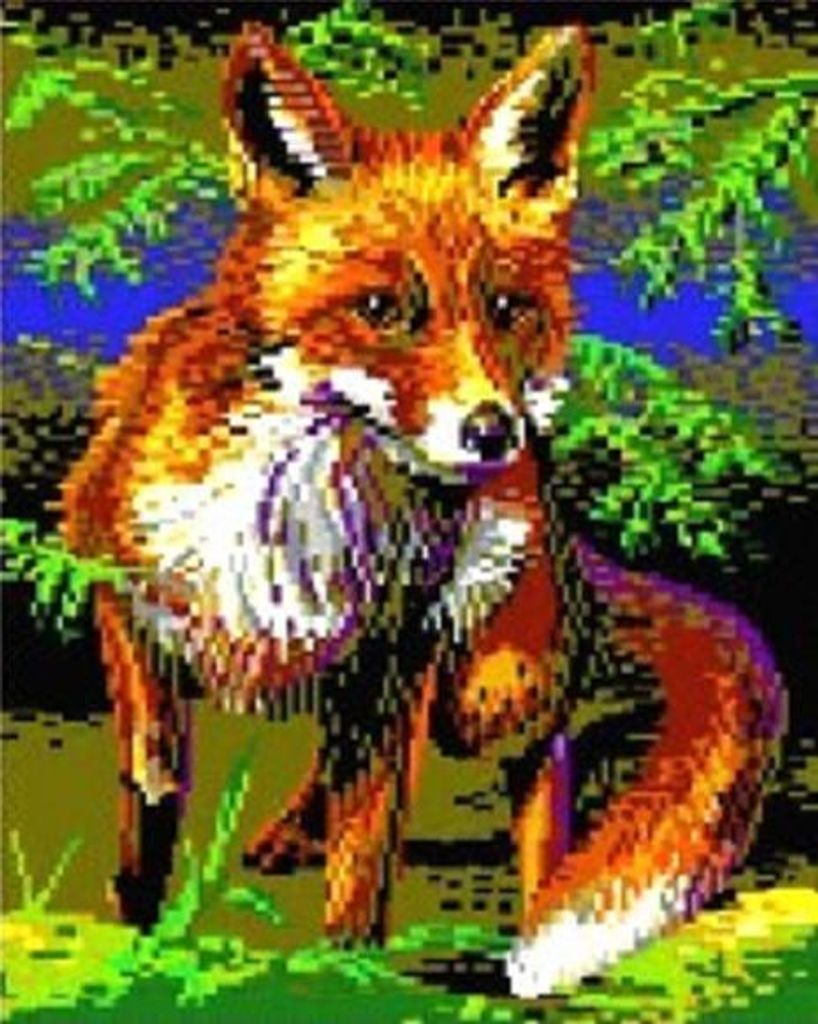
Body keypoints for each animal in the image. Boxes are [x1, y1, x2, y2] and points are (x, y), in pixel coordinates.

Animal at [61, 23, 782, 997]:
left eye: (507, 309)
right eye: (381, 309)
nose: (495, 430)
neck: (298, 515)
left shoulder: (392, 665)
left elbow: (366, 854)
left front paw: (338, 975)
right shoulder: (122, 591)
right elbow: (153, 783)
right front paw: (137, 928)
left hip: (483, 692)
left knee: (541, 773)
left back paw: (537, 926)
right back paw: (293, 832)